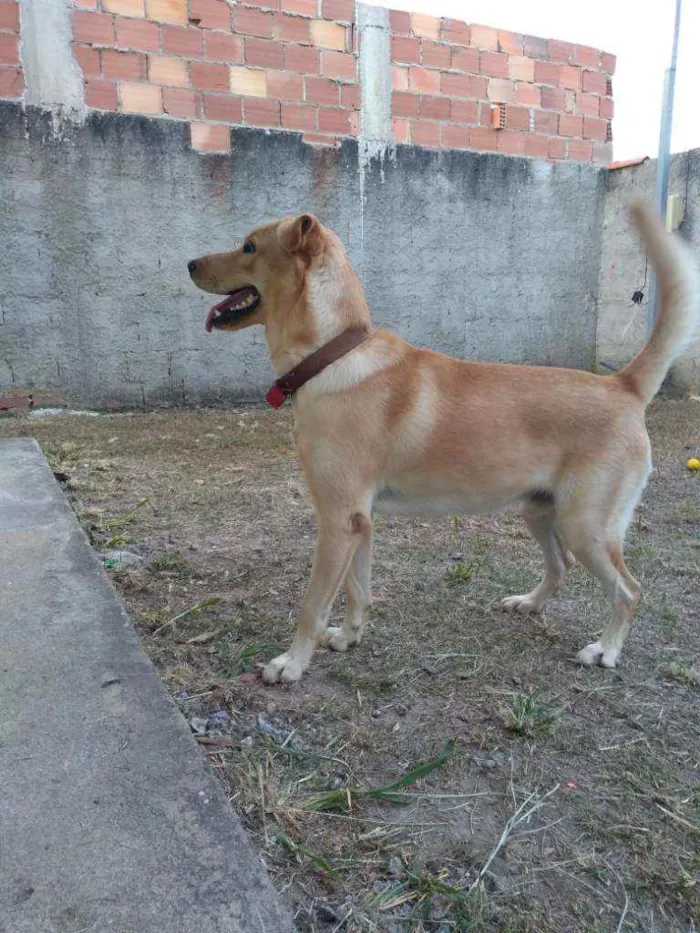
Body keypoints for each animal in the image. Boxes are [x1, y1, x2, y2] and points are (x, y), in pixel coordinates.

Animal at [187, 208, 700, 680]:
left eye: (249, 246)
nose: (189, 263)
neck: (332, 357)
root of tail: (622, 385)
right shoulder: (359, 521)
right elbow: (358, 591)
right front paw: (349, 637)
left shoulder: (336, 520)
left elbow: (313, 604)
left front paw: (291, 664)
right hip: (539, 511)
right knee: (560, 567)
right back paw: (529, 603)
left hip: (586, 526)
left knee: (628, 590)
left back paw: (606, 649)